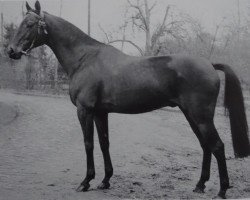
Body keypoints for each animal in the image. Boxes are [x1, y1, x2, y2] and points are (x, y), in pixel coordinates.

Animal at [7, 1, 250, 198]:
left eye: (30, 24)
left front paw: (86, 182)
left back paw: (222, 190)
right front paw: (105, 181)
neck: (84, 58)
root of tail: (209, 64)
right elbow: (104, 143)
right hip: (191, 115)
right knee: (206, 145)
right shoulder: (100, 112)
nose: (11, 50)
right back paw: (200, 185)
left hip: (201, 117)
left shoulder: (85, 111)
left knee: (217, 146)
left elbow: (88, 144)